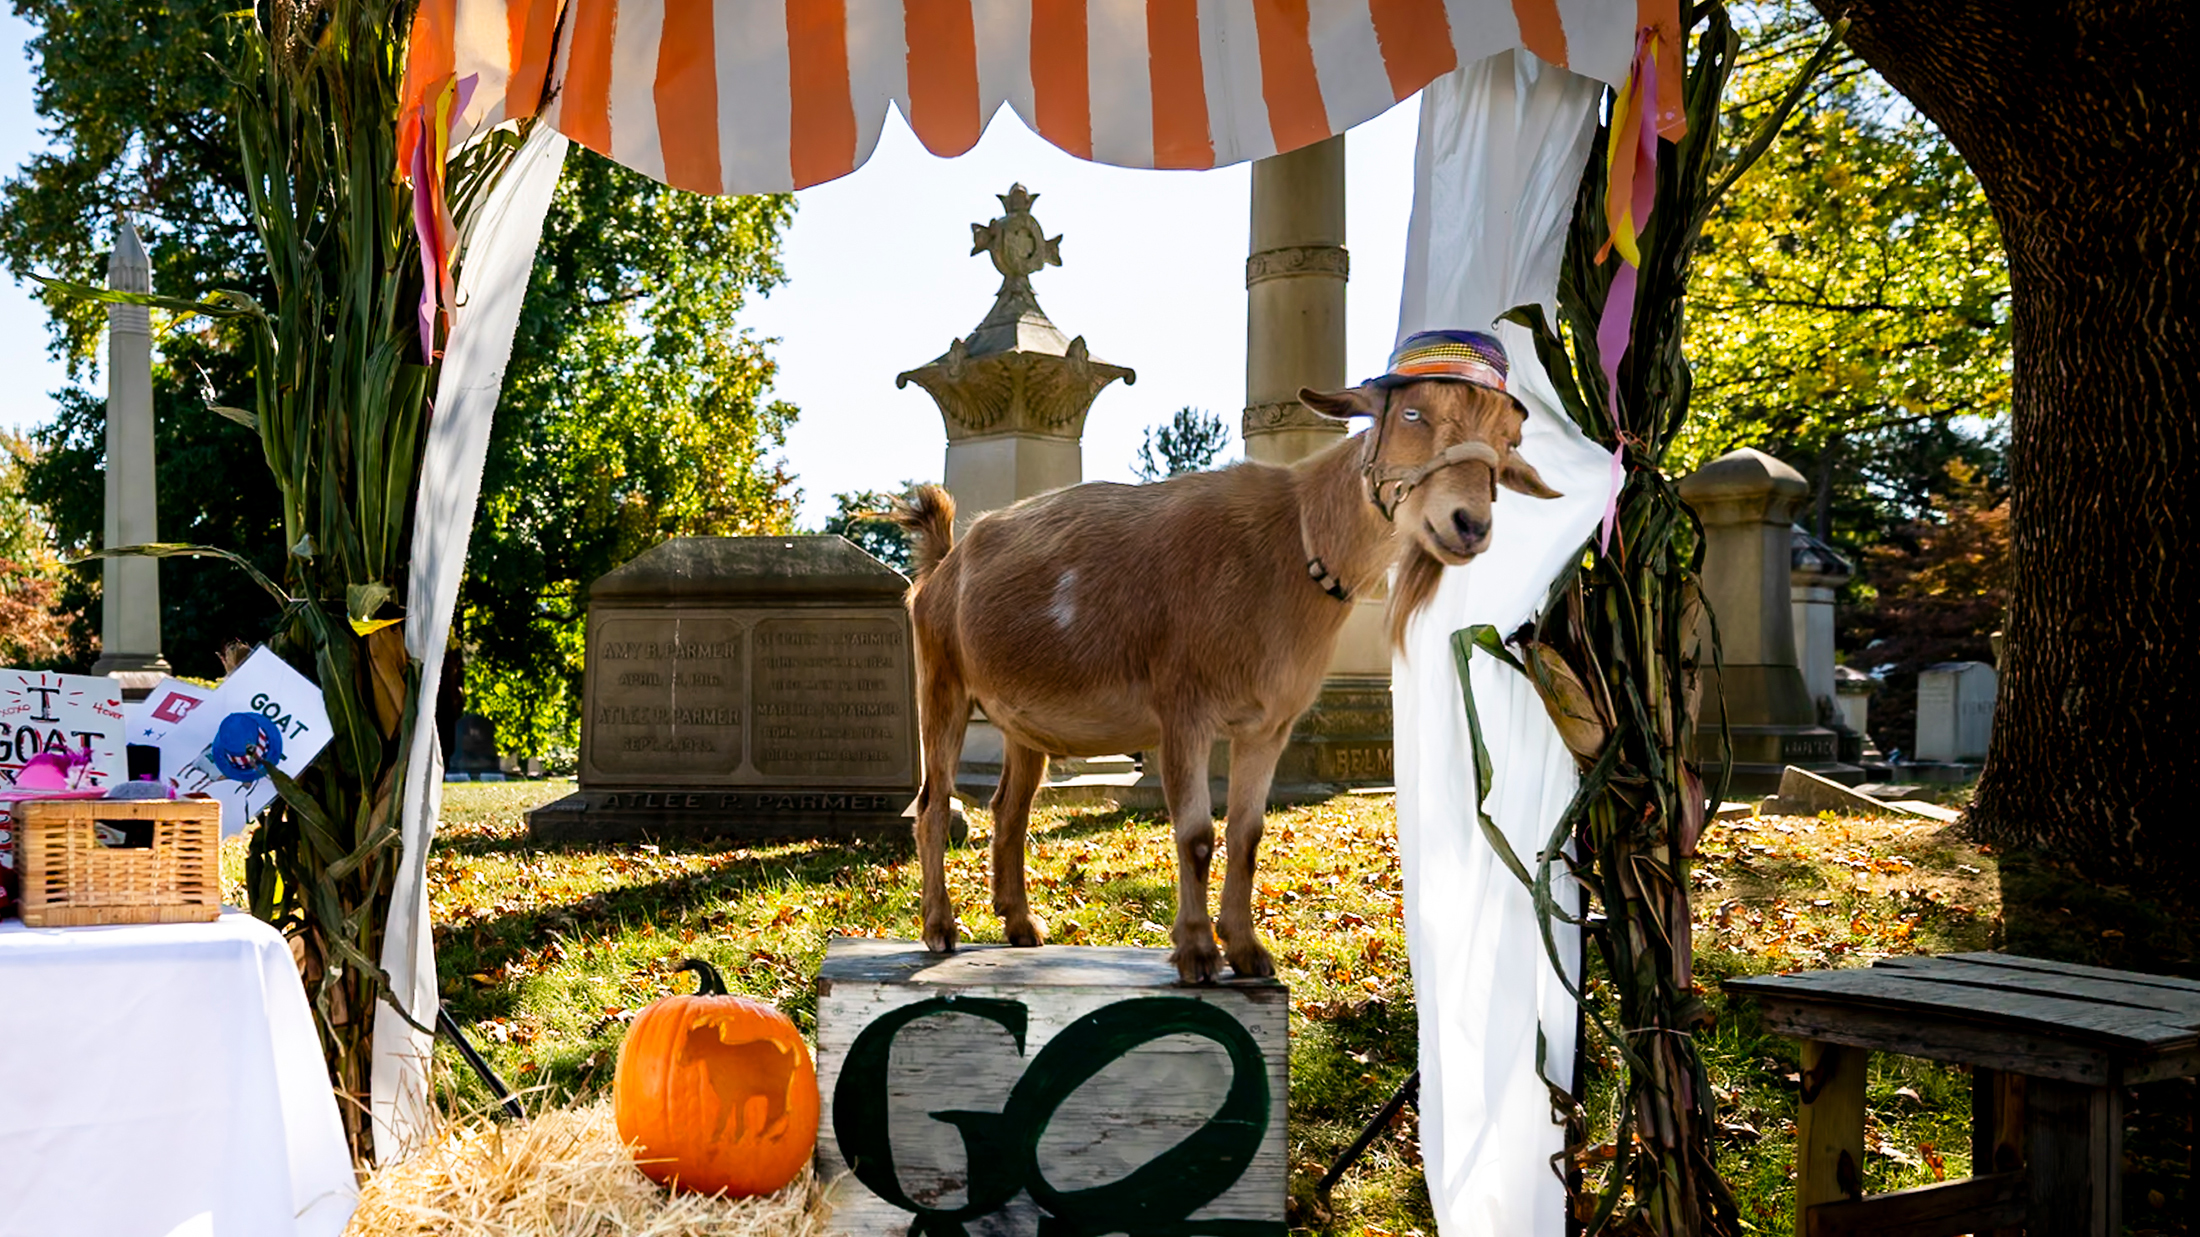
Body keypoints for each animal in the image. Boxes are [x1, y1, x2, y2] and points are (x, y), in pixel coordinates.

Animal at [891, 372, 1558, 983]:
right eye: (1412, 414)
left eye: (1508, 440)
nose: (1468, 524)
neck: (1291, 543)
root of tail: (941, 567)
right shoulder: (1183, 710)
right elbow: (1195, 834)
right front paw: (1197, 953)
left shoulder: (1269, 724)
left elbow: (1247, 834)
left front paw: (1248, 951)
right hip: (942, 684)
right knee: (932, 803)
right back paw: (941, 928)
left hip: (1021, 722)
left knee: (1009, 809)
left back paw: (1021, 924)